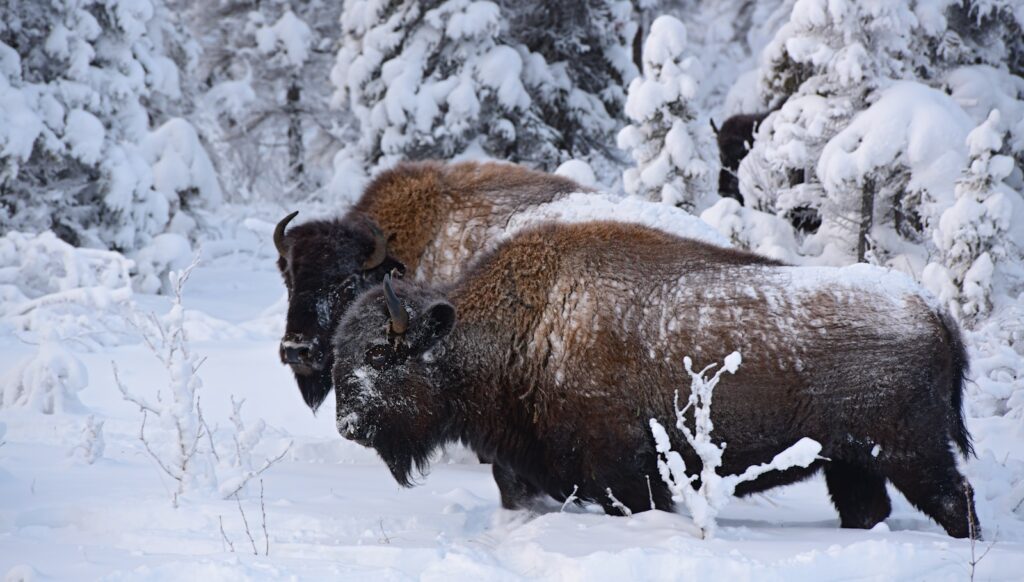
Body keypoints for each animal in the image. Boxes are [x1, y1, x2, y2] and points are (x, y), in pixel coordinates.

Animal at [330, 221, 979, 539]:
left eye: (382, 353)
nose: (348, 424)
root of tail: (933, 312)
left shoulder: (627, 474)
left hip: (911, 453)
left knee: (956, 500)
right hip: (851, 463)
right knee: (869, 509)